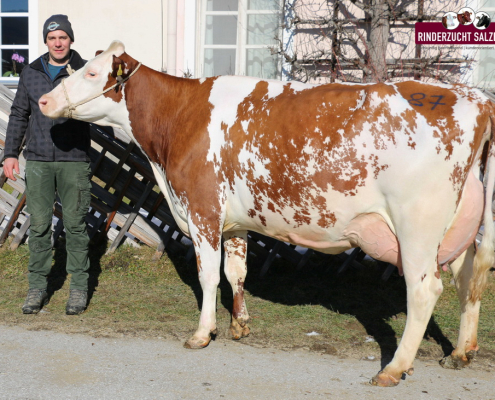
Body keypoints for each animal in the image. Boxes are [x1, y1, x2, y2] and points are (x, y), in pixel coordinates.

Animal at [39, 41, 495, 388]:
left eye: (91, 73)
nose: (45, 99)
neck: (178, 120)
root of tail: (474, 98)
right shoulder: (234, 221)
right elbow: (235, 273)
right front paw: (239, 325)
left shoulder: (203, 210)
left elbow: (208, 275)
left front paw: (202, 333)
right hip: (461, 227)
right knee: (469, 280)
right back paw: (461, 352)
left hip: (416, 226)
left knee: (425, 291)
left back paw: (395, 368)